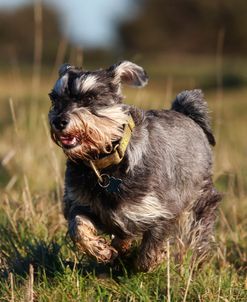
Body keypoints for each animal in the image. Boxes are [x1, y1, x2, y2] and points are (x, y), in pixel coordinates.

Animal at [48, 61, 222, 272]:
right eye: (54, 98)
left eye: (89, 97)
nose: (58, 121)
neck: (105, 164)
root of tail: (186, 114)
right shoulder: (81, 204)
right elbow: (78, 228)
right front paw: (101, 250)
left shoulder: (162, 211)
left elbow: (149, 250)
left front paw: (147, 260)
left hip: (201, 202)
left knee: (199, 237)